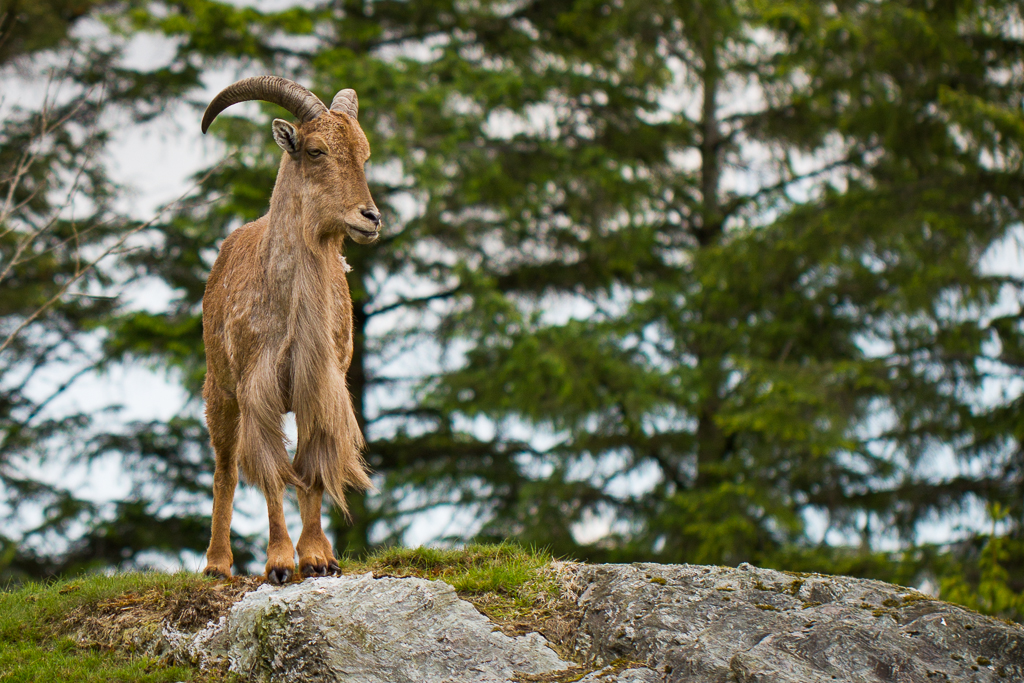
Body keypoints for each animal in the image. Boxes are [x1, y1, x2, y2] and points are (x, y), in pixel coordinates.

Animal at [199, 76, 379, 584]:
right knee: (225, 469)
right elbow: (273, 473)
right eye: (315, 151)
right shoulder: (257, 390)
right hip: (220, 389)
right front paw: (279, 563)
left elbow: (310, 471)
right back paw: (217, 564)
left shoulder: (319, 387)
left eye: (364, 154)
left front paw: (318, 557)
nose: (371, 218)